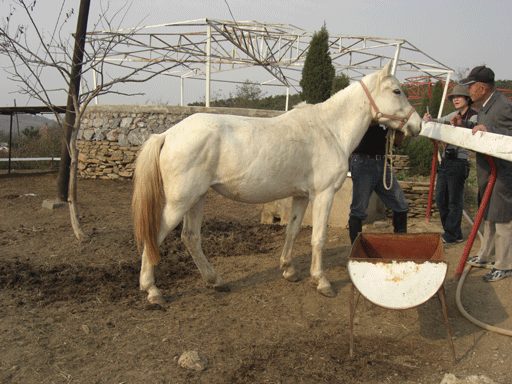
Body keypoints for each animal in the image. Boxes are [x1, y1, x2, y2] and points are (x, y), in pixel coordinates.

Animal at [134, 61, 422, 304]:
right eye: (397, 91)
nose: (417, 125)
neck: (329, 129)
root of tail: (166, 134)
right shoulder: (324, 194)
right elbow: (318, 238)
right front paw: (322, 282)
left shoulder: (302, 196)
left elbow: (292, 230)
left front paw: (289, 270)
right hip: (180, 201)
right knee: (156, 236)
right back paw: (153, 291)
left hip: (197, 198)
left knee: (191, 237)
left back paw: (216, 281)